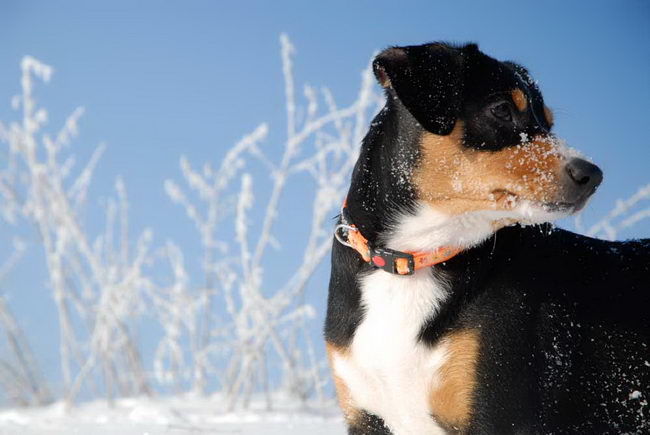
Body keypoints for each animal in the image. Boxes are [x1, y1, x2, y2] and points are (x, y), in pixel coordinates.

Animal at [324, 41, 648, 435]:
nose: (592, 175)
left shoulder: (500, 411)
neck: (412, 258)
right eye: (502, 109)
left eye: (548, 123)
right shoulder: (365, 415)